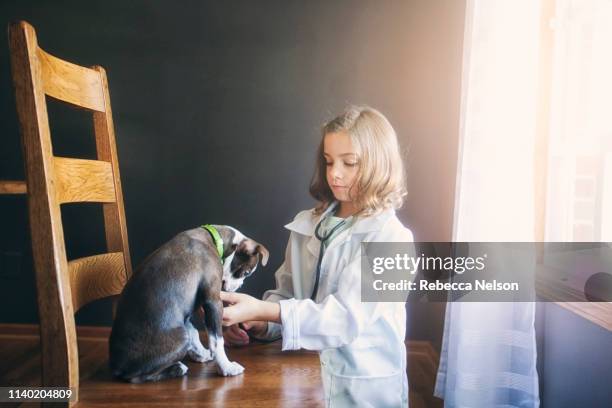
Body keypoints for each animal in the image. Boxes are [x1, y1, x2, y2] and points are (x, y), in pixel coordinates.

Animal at [110, 226, 268, 382]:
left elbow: (194, 332)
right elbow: (217, 340)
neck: (217, 241)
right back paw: (177, 368)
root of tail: (117, 367)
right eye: (246, 273)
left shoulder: (186, 311)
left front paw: (202, 355)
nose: (237, 287)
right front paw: (226, 367)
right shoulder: (213, 302)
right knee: (135, 377)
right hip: (181, 337)